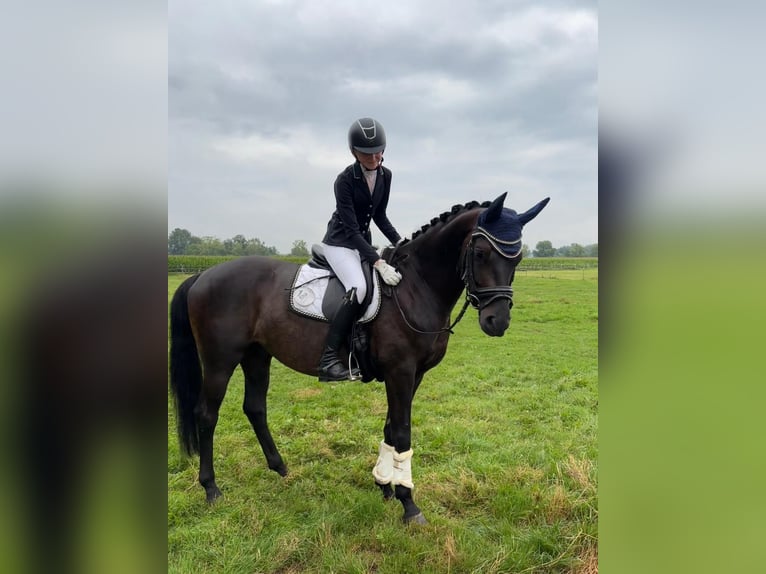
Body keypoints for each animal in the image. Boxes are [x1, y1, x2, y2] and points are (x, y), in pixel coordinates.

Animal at [169, 192, 549, 524]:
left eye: (517, 259)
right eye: (481, 252)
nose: (497, 321)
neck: (415, 287)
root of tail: (203, 274)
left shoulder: (415, 374)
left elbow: (390, 427)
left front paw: (385, 485)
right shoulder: (400, 372)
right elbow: (403, 432)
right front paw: (409, 504)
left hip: (257, 355)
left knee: (254, 408)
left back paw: (280, 468)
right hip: (220, 360)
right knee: (207, 415)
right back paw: (211, 489)